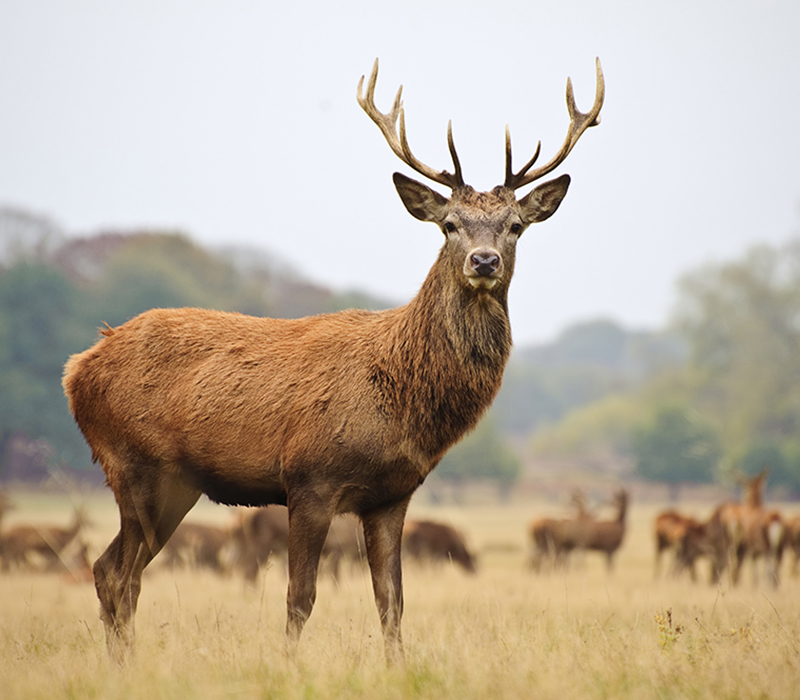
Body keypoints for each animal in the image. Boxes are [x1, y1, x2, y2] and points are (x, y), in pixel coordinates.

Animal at [62, 58, 604, 660]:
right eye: (449, 225)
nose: (483, 261)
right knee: (117, 572)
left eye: (515, 226)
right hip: (136, 465)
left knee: (115, 571)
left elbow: (392, 601)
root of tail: (77, 368)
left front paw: (396, 668)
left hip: (172, 482)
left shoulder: (393, 495)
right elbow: (300, 597)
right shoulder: (309, 479)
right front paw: (289, 666)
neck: (401, 397)